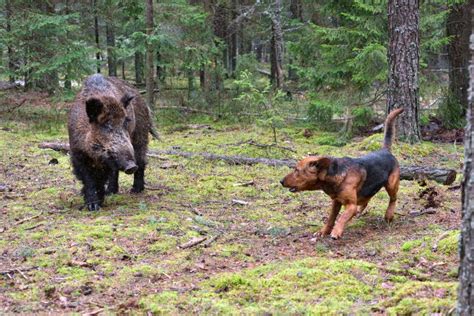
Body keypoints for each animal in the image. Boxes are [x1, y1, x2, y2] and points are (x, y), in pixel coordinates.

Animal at [282, 108, 404, 239]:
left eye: (296, 170)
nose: (281, 181)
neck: (337, 175)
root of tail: (385, 150)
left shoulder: (350, 205)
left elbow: (342, 217)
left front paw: (336, 231)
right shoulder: (336, 202)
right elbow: (331, 219)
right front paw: (324, 231)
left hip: (391, 185)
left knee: (393, 199)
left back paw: (389, 215)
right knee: (366, 200)